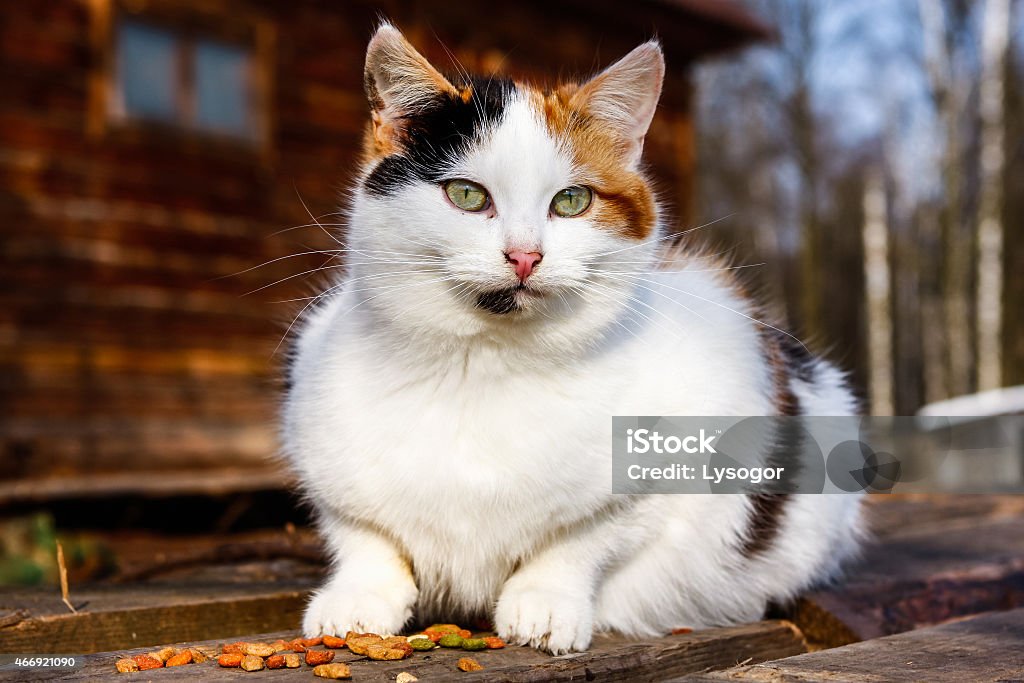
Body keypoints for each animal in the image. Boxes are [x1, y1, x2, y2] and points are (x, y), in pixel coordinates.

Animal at [282, 25, 864, 655]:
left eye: (572, 201)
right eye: (466, 195)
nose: (525, 255)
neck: (484, 367)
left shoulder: (655, 478)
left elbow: (577, 543)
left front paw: (544, 603)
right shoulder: (324, 454)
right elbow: (366, 535)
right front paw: (357, 598)